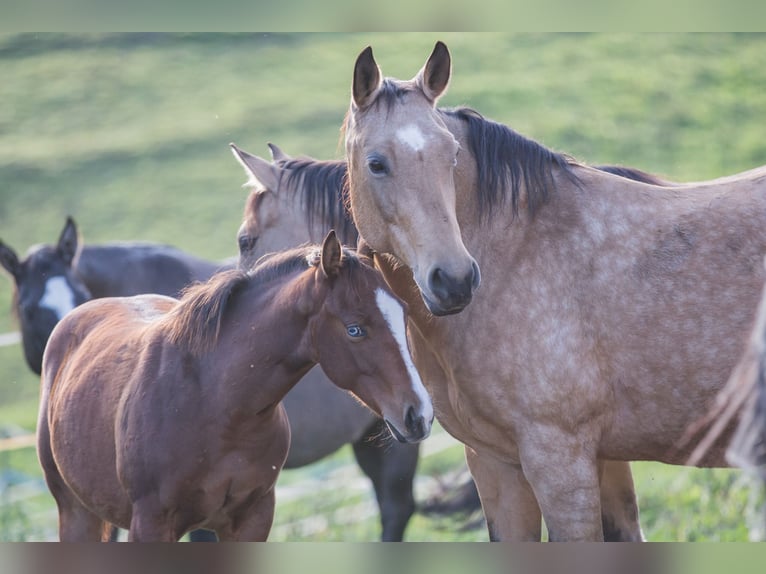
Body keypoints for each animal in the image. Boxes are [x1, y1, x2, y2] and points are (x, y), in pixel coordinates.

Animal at [37, 231, 434, 541]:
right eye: (354, 329)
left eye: (404, 314)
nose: (420, 414)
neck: (215, 404)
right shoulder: (151, 525)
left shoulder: (252, 518)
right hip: (75, 513)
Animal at [342, 41, 766, 541]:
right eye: (377, 164)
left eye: (452, 156)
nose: (455, 279)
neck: (520, 251)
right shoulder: (498, 466)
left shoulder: (560, 462)